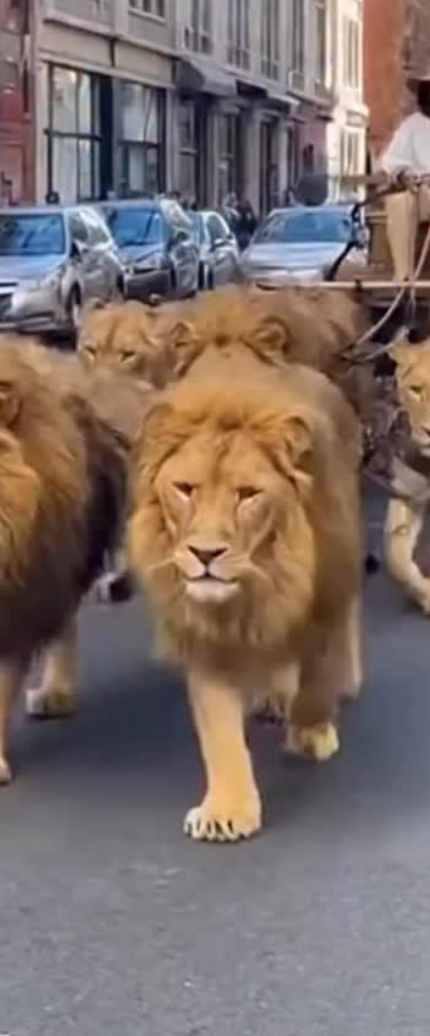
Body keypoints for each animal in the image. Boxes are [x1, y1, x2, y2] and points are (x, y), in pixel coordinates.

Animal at [128, 348, 363, 842]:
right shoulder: (205, 638)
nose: (205, 553)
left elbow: (317, 675)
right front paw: (226, 811)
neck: (260, 583)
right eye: (185, 489)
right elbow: (220, 732)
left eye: (248, 494)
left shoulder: (326, 601)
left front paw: (310, 732)